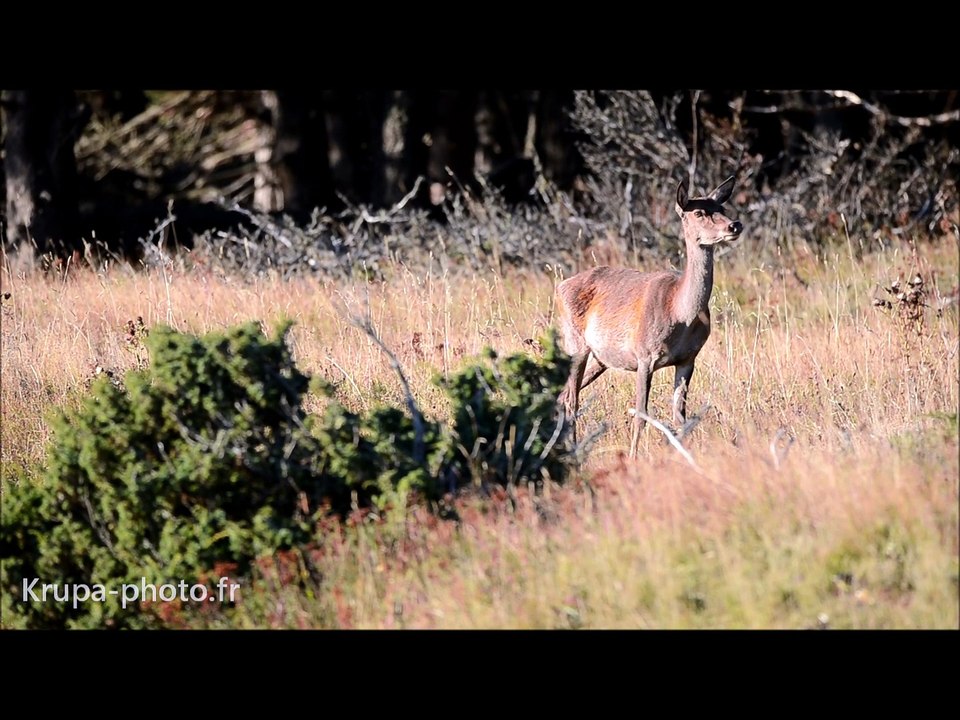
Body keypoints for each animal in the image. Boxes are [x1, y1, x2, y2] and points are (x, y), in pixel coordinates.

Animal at [554, 175, 743, 458]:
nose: (734, 225)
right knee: (570, 400)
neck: (680, 313)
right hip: (574, 343)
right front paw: (633, 458)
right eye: (698, 212)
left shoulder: (688, 359)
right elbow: (641, 415)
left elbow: (680, 417)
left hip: (600, 358)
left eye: (721, 208)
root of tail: (560, 286)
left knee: (562, 395)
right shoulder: (644, 356)